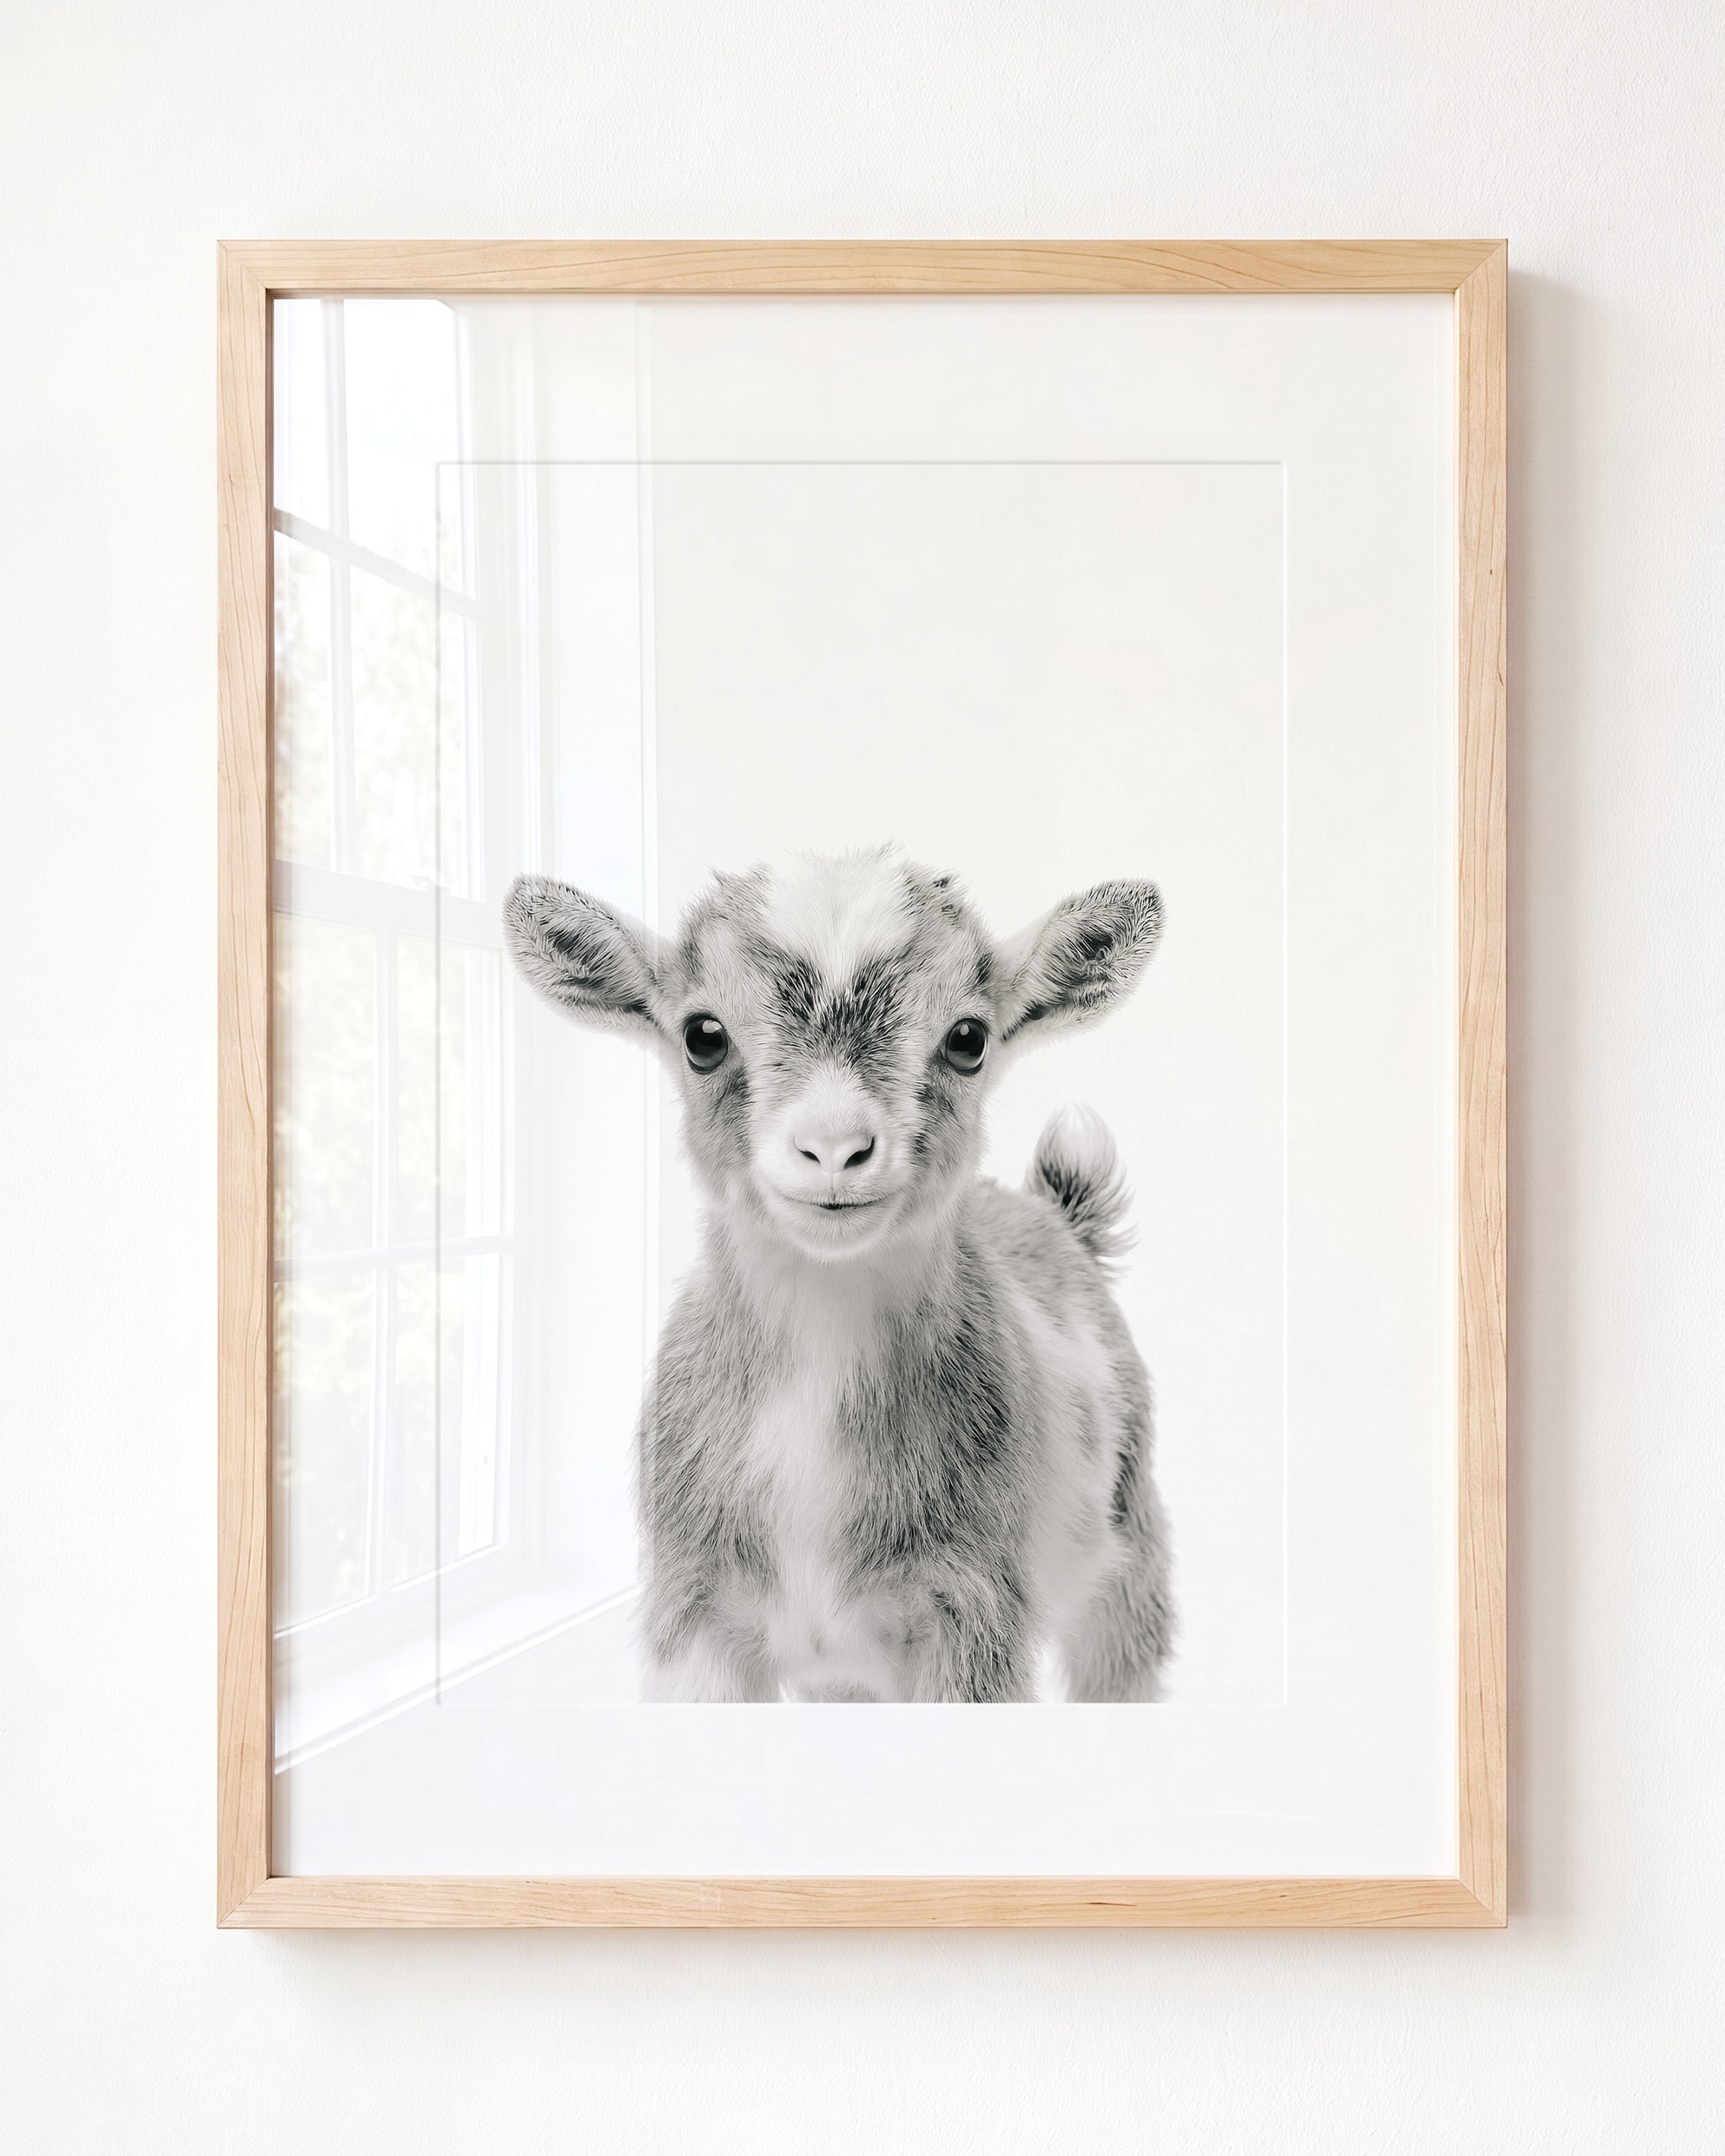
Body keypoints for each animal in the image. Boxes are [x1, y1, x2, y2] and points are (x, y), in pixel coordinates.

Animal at [504, 847, 1175, 1702]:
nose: (833, 1149)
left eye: (968, 1038)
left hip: (1130, 1552)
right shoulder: (695, 1614)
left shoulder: (973, 1614)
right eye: (702, 1035)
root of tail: (1058, 1218)